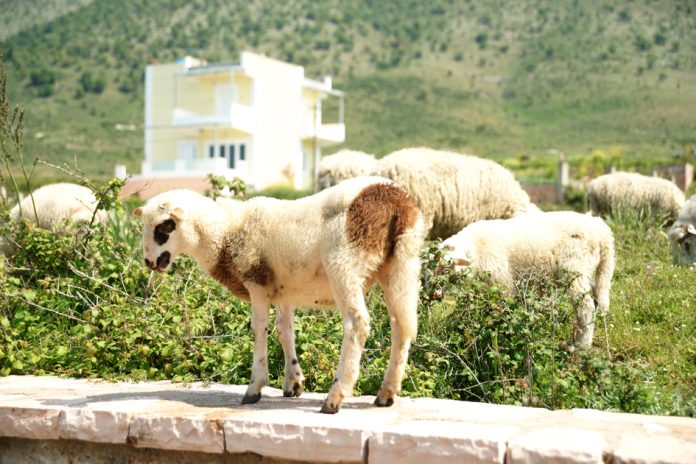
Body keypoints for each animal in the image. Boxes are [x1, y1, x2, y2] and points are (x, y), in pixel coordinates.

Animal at [131, 177, 424, 414]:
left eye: (164, 227)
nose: (149, 262)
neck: (225, 233)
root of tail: (396, 201)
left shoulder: (257, 282)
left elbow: (258, 330)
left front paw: (255, 387)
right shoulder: (284, 291)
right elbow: (285, 331)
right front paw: (292, 383)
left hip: (345, 265)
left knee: (357, 324)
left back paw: (335, 398)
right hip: (402, 264)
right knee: (402, 327)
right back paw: (386, 394)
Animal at [444, 210, 616, 348]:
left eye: (446, 268)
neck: (476, 248)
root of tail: (601, 230)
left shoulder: (501, 280)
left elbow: (502, 308)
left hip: (574, 267)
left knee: (585, 305)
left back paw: (582, 345)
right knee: (596, 297)